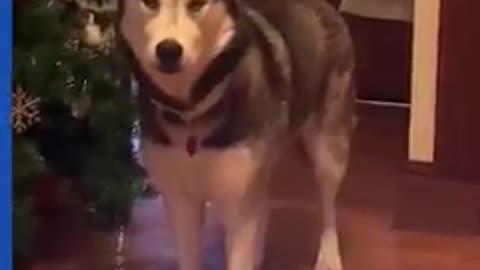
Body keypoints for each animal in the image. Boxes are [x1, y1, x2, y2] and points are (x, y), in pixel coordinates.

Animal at [117, 0, 354, 270]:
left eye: (197, 4)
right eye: (149, 3)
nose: (168, 51)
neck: (191, 112)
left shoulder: (239, 203)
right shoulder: (181, 201)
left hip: (328, 151)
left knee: (328, 208)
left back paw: (329, 256)